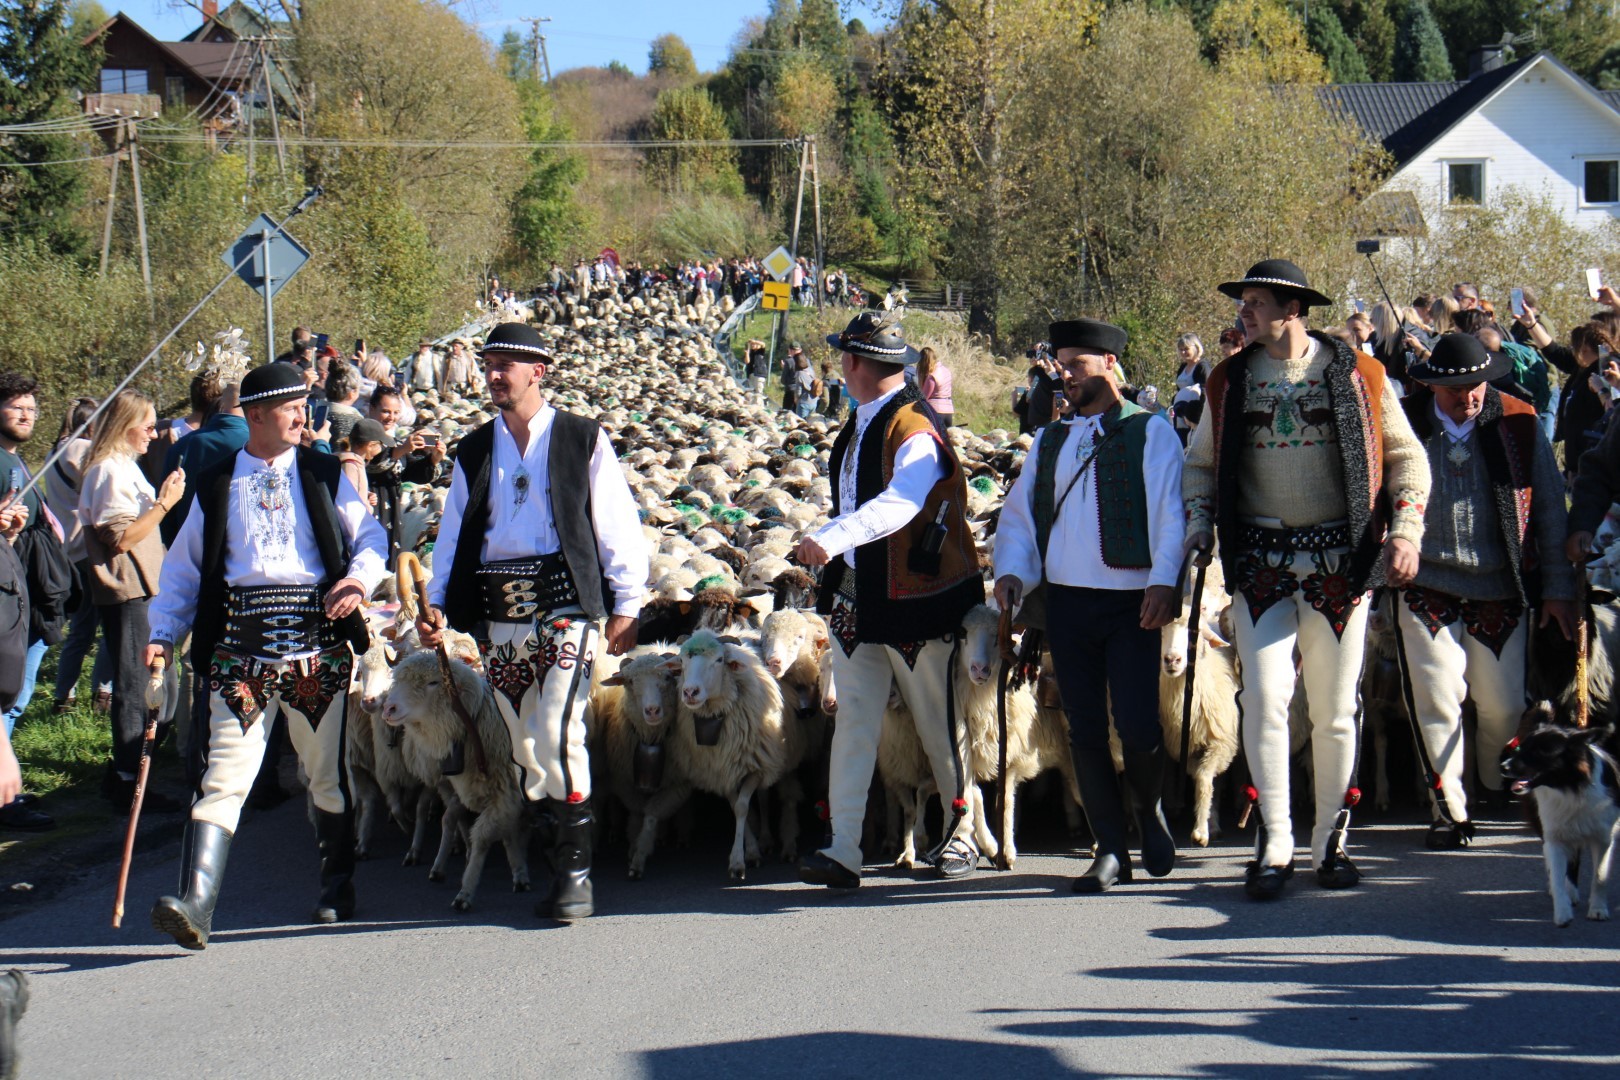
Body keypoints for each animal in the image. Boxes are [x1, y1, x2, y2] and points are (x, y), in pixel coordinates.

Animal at [379, 650, 531, 913]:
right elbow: (484, 826)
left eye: (433, 682)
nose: (389, 708)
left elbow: (483, 837)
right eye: (397, 680)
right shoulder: (482, 788)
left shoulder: (505, 790)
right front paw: (518, 870)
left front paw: (466, 891)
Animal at [664, 634, 790, 880]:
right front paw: (748, 852)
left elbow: (742, 807)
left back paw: (766, 838)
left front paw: (740, 861)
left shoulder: (754, 768)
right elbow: (736, 807)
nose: (690, 692)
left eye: (719, 660)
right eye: (681, 661)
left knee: (763, 799)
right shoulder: (721, 770)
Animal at [1496, 709, 1613, 932]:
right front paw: (1563, 912)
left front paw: (1598, 908)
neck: (1569, 787)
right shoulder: (1555, 836)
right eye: (1521, 748)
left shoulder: (1603, 837)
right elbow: (1558, 876)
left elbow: (1600, 875)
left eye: (1540, 752)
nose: (1503, 767)